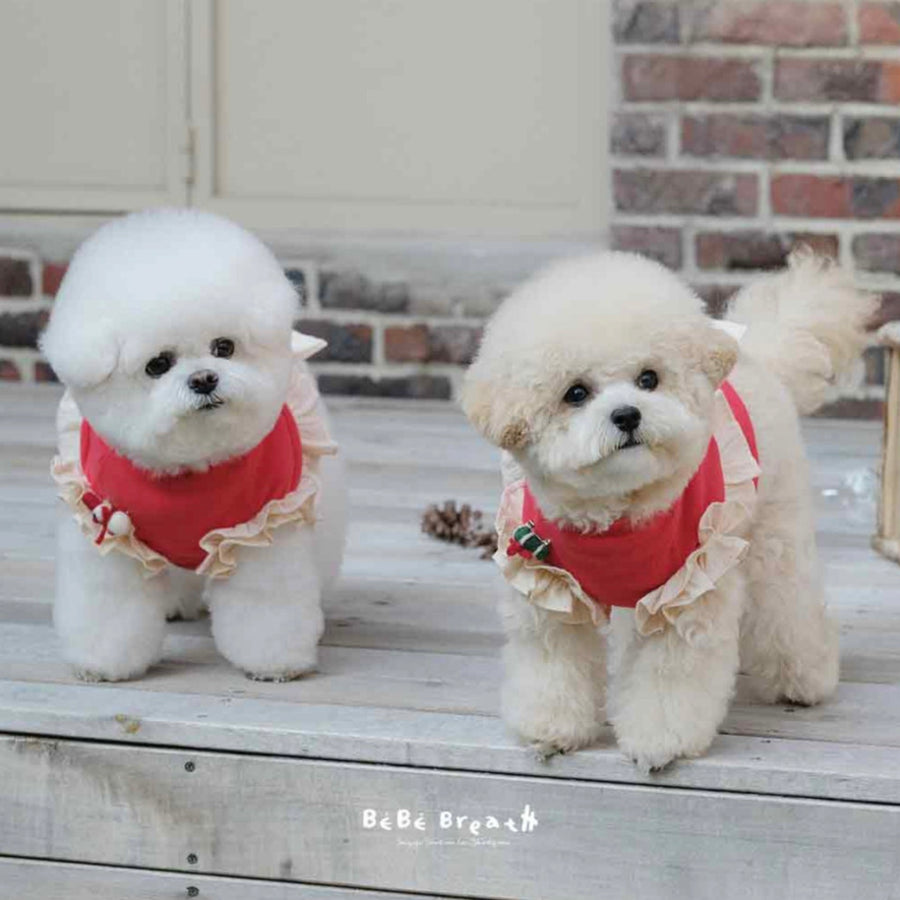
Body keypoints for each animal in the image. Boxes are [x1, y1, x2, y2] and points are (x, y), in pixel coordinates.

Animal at [40, 209, 347, 682]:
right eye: (158, 365)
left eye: (224, 347)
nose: (204, 378)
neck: (191, 467)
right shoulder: (108, 533)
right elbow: (108, 606)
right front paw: (103, 663)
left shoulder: (262, 529)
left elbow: (267, 606)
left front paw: (274, 662)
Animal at [462, 250, 875, 770]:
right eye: (576, 393)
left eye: (648, 379)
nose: (627, 415)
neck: (618, 514)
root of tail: (761, 355)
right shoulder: (548, 589)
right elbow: (555, 660)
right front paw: (551, 728)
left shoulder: (688, 586)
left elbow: (670, 673)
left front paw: (660, 740)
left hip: (772, 532)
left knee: (789, 607)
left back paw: (806, 679)